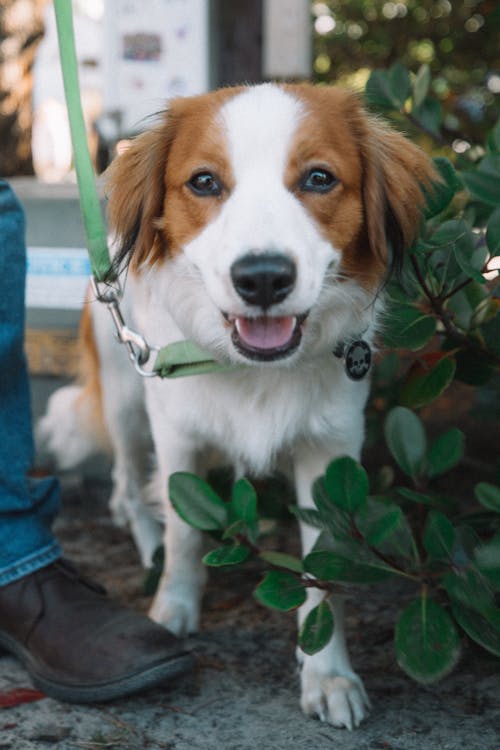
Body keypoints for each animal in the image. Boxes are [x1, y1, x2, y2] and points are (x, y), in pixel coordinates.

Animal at [38, 82, 438, 728]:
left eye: (320, 178)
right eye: (204, 182)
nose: (264, 278)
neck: (254, 367)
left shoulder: (331, 450)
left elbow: (324, 570)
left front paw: (327, 673)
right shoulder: (176, 435)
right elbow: (185, 535)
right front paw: (172, 608)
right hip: (127, 403)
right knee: (127, 485)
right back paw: (145, 543)